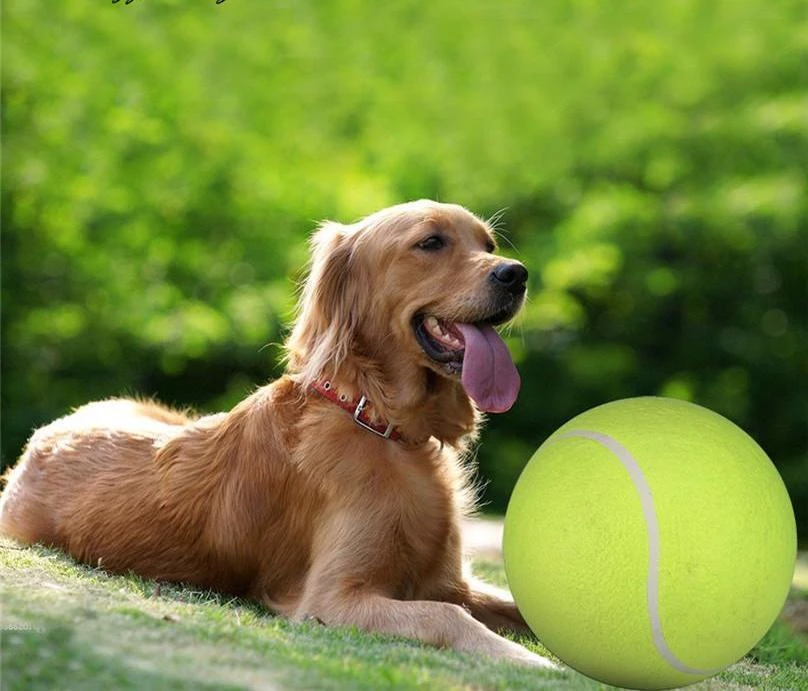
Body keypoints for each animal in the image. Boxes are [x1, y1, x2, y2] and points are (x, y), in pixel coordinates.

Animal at [0, 200, 556, 672]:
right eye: (432, 242)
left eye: (487, 243)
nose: (517, 273)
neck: (378, 421)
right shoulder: (332, 599)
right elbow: (446, 615)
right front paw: (534, 662)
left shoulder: (450, 581)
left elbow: (518, 606)